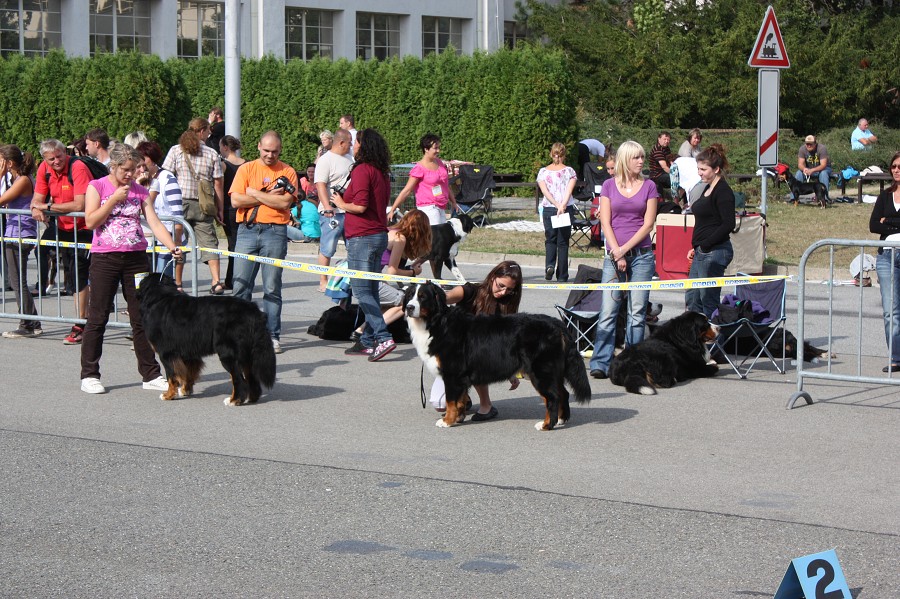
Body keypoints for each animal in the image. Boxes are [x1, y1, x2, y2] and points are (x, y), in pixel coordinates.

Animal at [137, 274, 276, 406]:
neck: (160, 297)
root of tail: (254, 311)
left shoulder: (167, 353)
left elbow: (172, 376)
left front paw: (169, 395)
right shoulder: (188, 352)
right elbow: (188, 373)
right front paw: (185, 390)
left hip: (228, 353)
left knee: (239, 380)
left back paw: (234, 400)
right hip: (247, 353)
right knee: (251, 377)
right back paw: (251, 398)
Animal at [406, 282, 592, 432]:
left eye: (422, 297)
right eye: (409, 296)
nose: (408, 307)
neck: (436, 323)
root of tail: (558, 324)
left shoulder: (452, 375)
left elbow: (451, 400)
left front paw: (447, 421)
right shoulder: (462, 377)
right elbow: (461, 399)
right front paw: (458, 417)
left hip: (540, 372)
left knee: (552, 397)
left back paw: (546, 425)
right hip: (553, 371)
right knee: (563, 393)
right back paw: (561, 419)